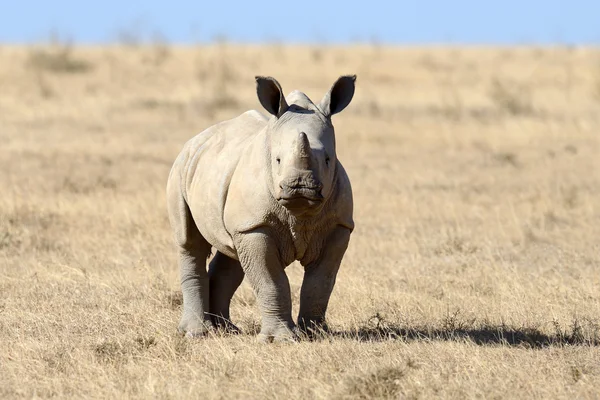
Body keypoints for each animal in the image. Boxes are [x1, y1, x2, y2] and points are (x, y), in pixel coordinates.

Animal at [165, 76, 356, 344]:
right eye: (277, 160)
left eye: (328, 160)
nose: (299, 186)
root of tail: (197, 138)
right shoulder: (256, 226)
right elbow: (271, 281)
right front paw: (280, 339)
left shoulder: (338, 225)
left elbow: (321, 283)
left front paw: (316, 335)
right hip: (182, 166)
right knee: (190, 243)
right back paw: (196, 333)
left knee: (231, 253)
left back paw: (226, 330)